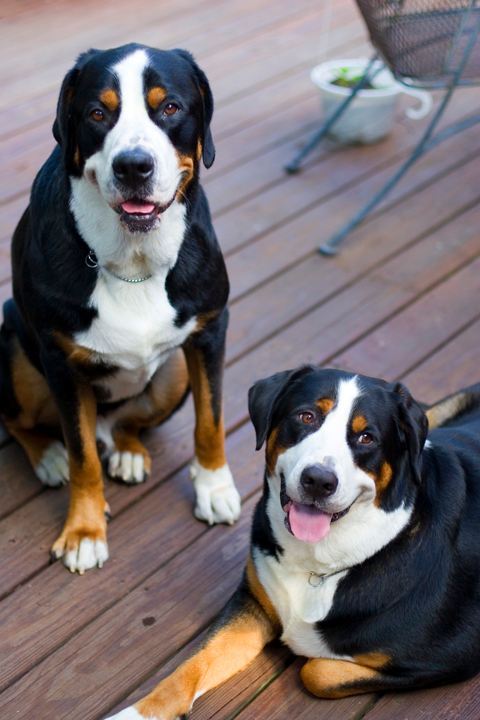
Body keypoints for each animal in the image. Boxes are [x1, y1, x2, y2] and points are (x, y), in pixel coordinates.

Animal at [0, 43, 240, 572]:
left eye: (169, 107)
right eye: (97, 113)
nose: (134, 166)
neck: (134, 259)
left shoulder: (209, 332)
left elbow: (211, 422)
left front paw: (215, 487)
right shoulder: (61, 363)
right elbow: (82, 456)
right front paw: (84, 531)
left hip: (173, 375)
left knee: (127, 423)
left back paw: (127, 450)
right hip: (12, 345)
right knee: (22, 422)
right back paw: (47, 456)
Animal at [107, 368, 480, 716]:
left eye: (366, 437)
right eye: (306, 417)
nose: (318, 480)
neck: (319, 564)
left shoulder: (449, 656)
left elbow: (315, 671)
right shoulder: (251, 605)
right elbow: (190, 667)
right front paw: (136, 713)